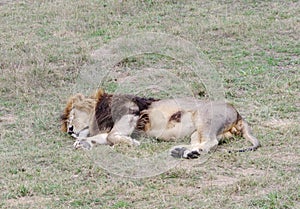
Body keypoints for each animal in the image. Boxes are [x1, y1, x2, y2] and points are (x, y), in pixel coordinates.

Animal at [61, 89, 260, 159]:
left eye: (72, 116)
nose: (70, 130)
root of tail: (238, 114)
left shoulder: (131, 111)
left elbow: (110, 136)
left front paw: (131, 143)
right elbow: (104, 137)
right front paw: (83, 143)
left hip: (205, 117)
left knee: (212, 142)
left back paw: (188, 152)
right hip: (198, 131)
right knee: (203, 142)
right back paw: (184, 151)